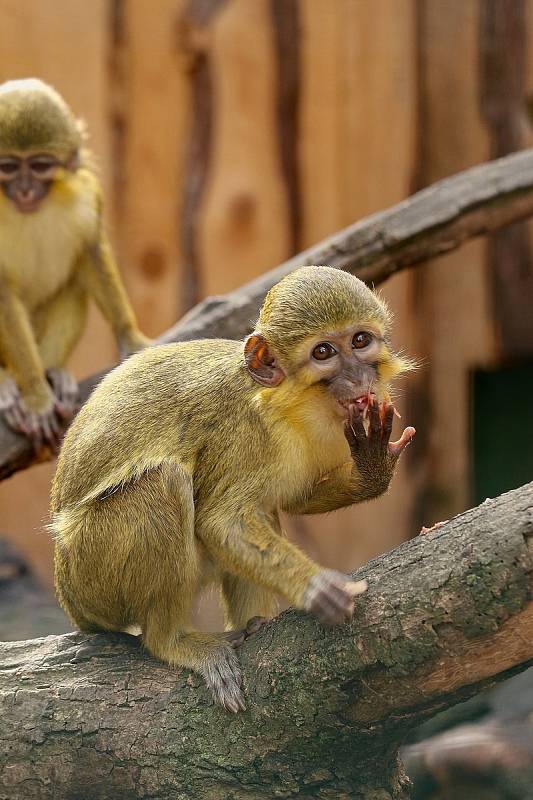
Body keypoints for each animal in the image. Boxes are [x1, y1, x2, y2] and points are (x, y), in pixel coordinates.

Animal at [0, 79, 150, 456]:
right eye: (8, 167)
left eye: (40, 165)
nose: (25, 190)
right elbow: (2, 291)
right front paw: (36, 395)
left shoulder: (85, 192)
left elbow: (91, 252)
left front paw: (131, 338)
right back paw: (8, 382)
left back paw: (54, 372)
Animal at [51, 268, 416, 712]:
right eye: (324, 352)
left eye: (360, 341)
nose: (358, 377)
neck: (292, 406)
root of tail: (69, 598)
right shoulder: (245, 432)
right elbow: (220, 522)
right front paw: (317, 589)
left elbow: (294, 500)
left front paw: (373, 467)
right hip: (90, 576)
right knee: (165, 483)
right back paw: (171, 641)